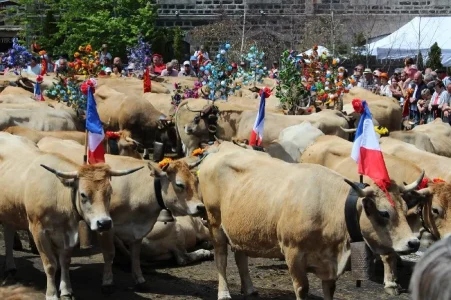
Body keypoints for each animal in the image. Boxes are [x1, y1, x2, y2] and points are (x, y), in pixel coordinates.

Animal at [38, 137, 206, 292]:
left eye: (196, 180)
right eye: (179, 184)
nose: (200, 207)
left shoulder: (138, 230)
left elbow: (135, 255)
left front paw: (139, 279)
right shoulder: (106, 225)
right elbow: (109, 253)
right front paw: (107, 281)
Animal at [200, 141, 426, 300]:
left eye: (405, 208)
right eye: (384, 212)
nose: (413, 242)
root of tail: (219, 150)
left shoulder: (329, 262)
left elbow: (330, 289)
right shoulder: (293, 253)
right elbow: (302, 289)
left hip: (239, 226)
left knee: (241, 256)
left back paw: (249, 288)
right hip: (215, 221)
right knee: (221, 257)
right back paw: (224, 293)